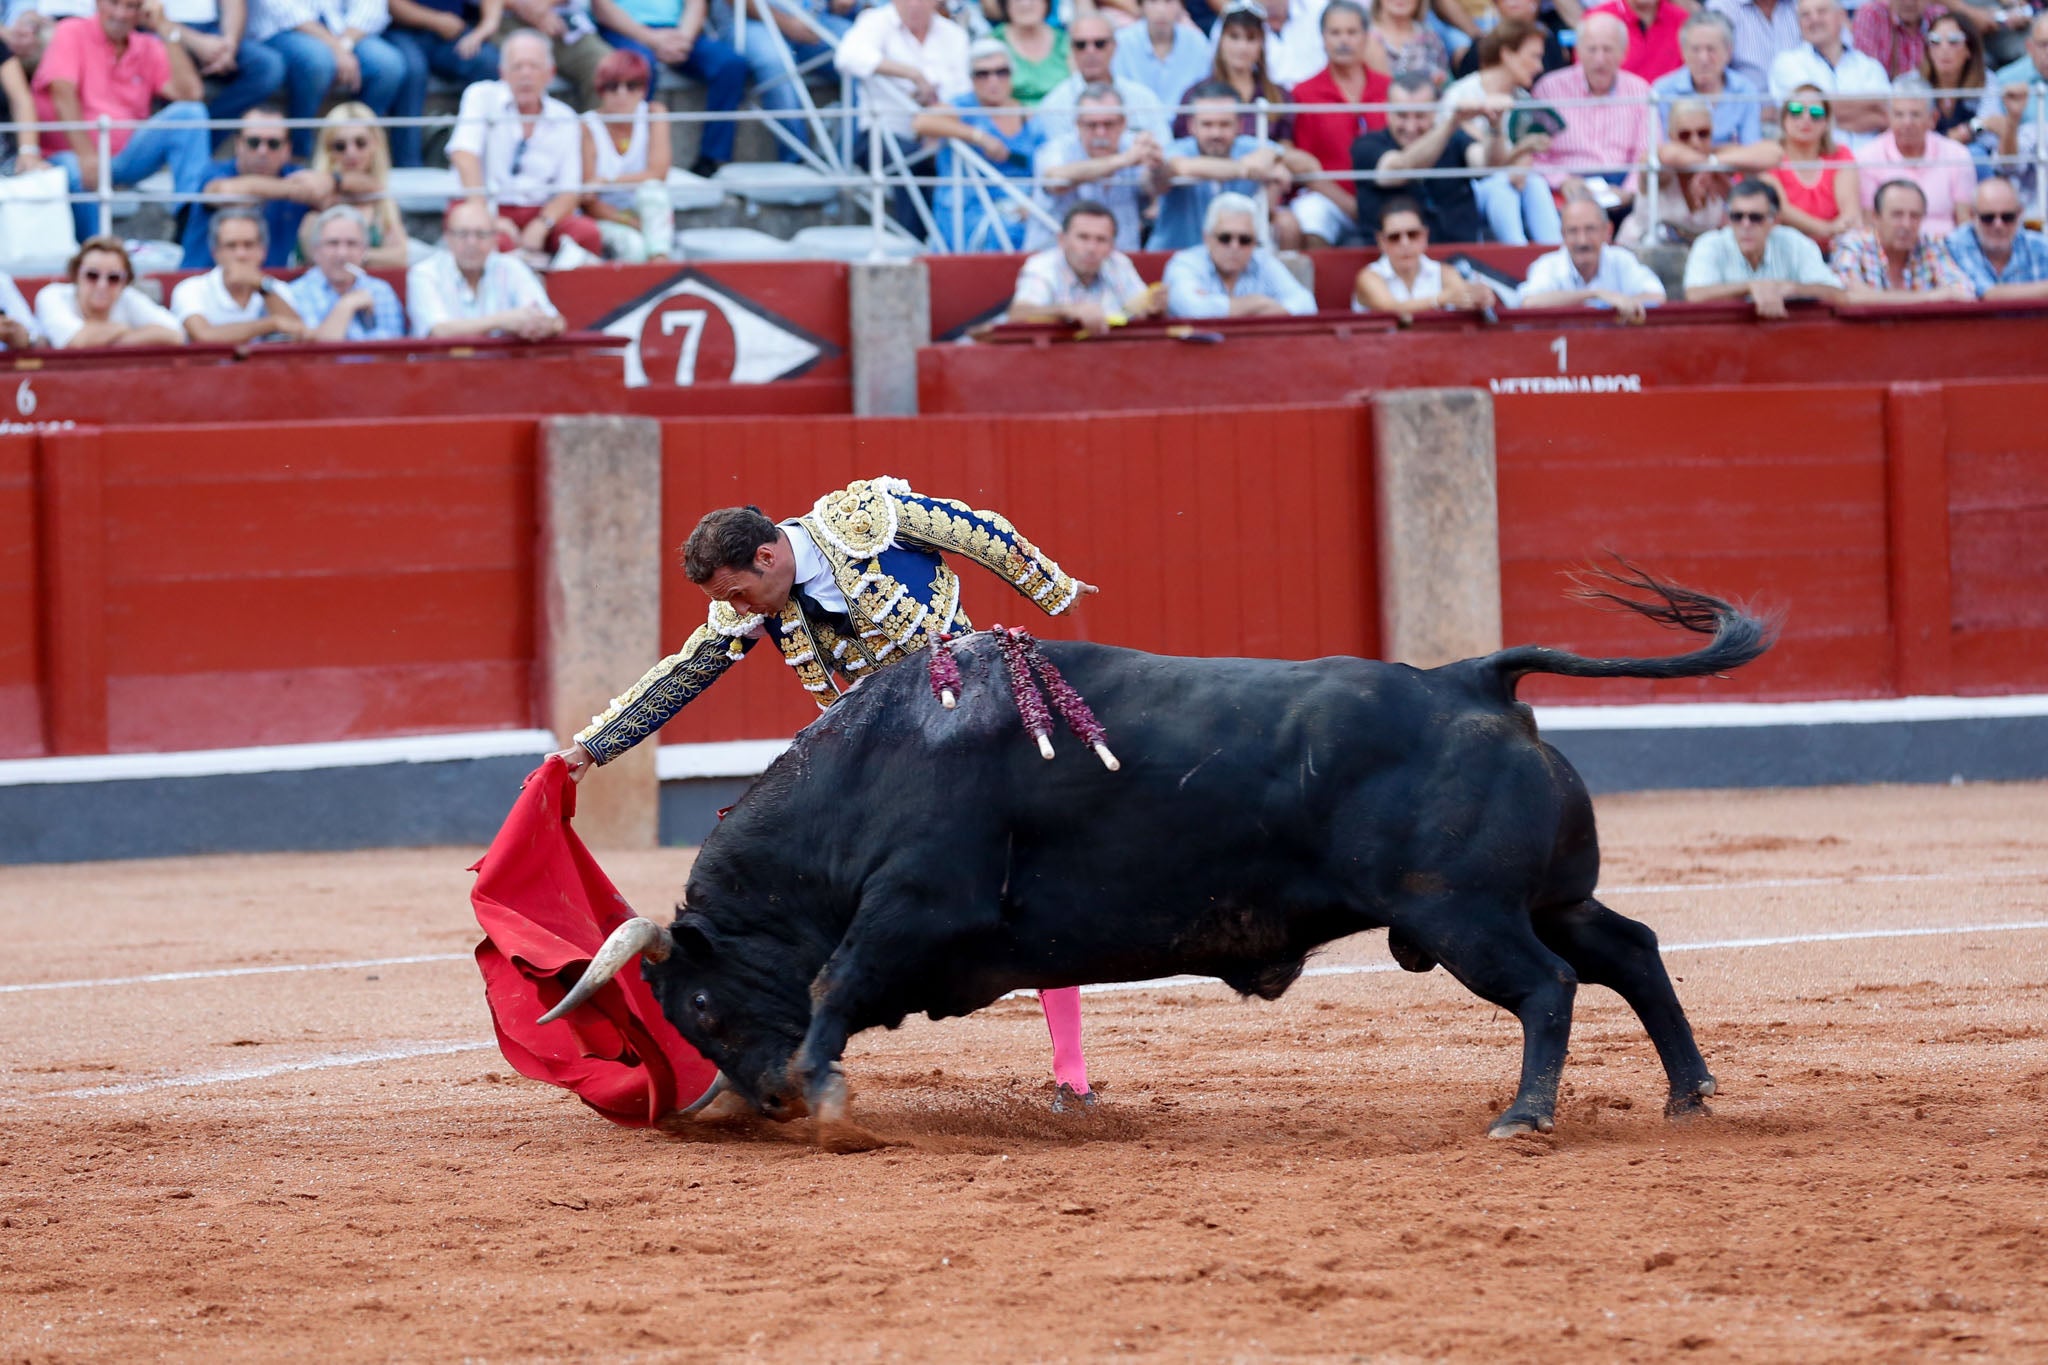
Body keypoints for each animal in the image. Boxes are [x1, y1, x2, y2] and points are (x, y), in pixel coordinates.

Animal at [548, 568, 1777, 1146]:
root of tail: (1469, 680)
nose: (760, 1102)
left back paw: (1525, 1116)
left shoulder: (917, 901)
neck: (873, 765)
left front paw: (825, 1092)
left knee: (1552, 985)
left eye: (700, 1006)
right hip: (1546, 895)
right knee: (1630, 949)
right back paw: (1689, 1094)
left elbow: (831, 984)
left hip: (1459, 914)